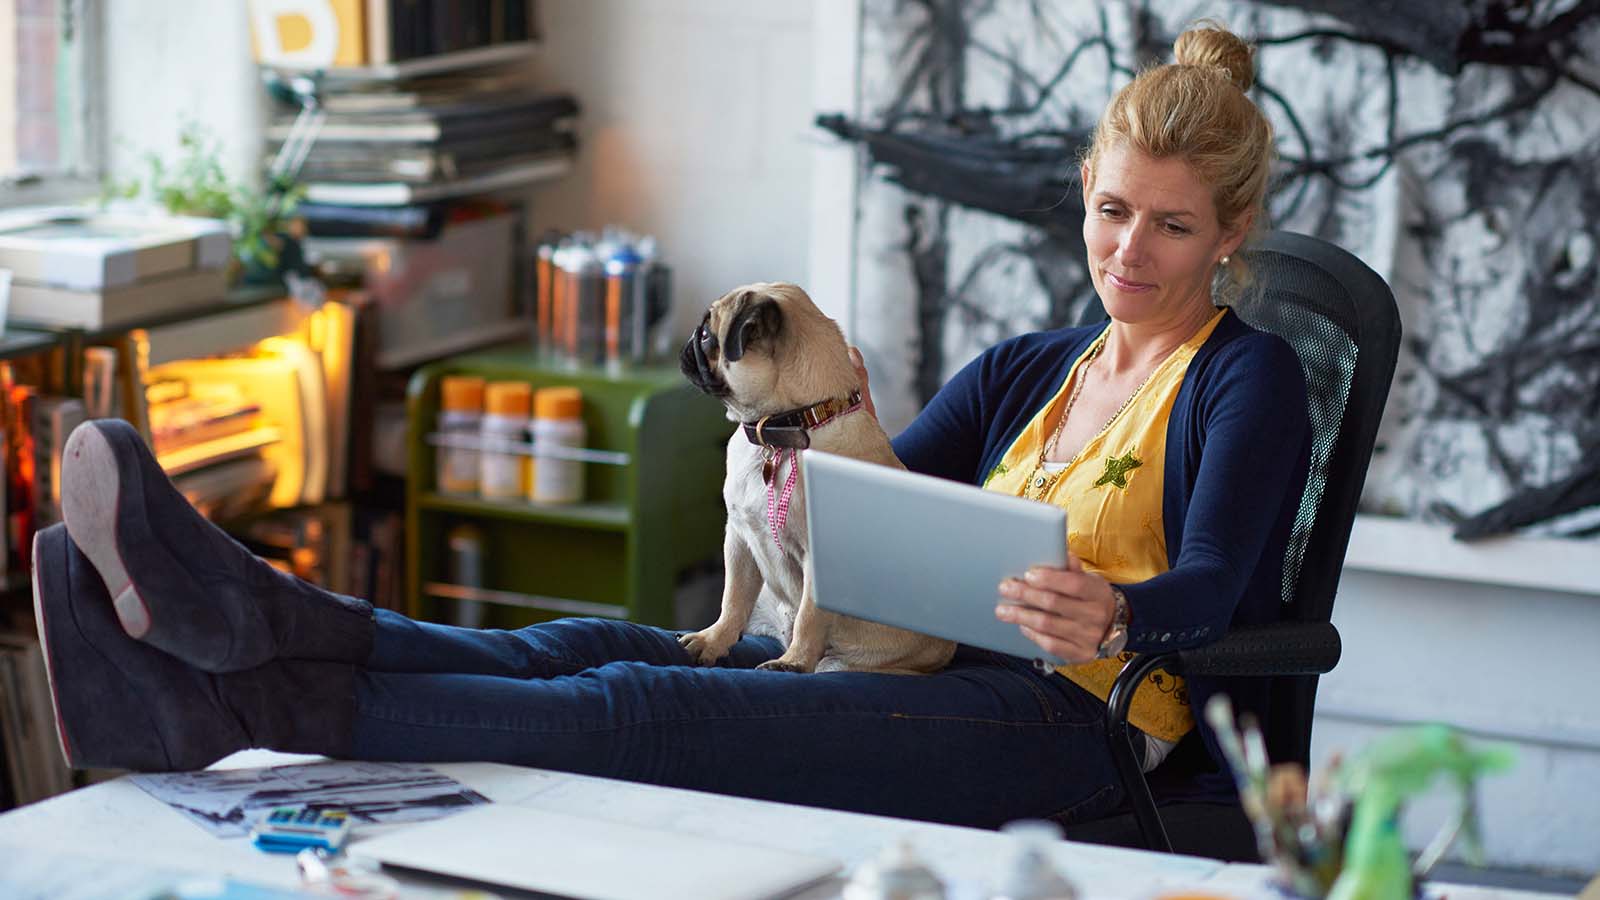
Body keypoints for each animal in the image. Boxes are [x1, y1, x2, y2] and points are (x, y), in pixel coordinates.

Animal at [672, 280, 947, 672]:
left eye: (708, 335)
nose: (688, 343)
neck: (781, 431)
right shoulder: (738, 538)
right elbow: (733, 597)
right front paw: (715, 639)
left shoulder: (818, 563)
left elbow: (809, 616)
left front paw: (793, 661)